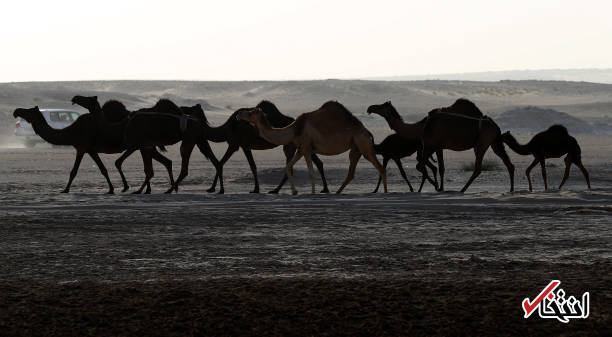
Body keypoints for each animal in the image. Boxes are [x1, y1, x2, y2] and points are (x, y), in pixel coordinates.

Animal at [237, 101, 384, 193]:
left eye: (250, 113)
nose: (238, 115)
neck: (294, 129)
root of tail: (368, 132)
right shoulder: (302, 149)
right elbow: (289, 167)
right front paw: (294, 191)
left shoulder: (306, 147)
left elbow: (311, 172)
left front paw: (312, 193)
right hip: (356, 148)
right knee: (352, 172)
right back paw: (338, 192)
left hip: (363, 144)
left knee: (380, 167)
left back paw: (385, 192)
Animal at [368, 99, 516, 192]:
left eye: (381, 106)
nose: (370, 108)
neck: (421, 127)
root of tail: (496, 126)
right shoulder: (437, 147)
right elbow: (441, 168)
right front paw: (440, 187)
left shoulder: (430, 145)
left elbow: (420, 165)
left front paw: (436, 186)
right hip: (494, 143)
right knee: (509, 164)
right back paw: (511, 189)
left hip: (482, 143)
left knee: (478, 168)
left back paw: (462, 189)